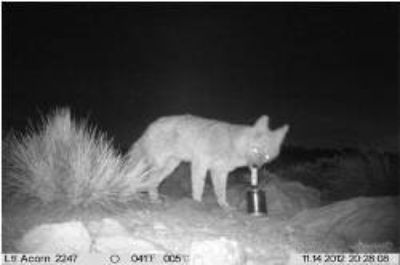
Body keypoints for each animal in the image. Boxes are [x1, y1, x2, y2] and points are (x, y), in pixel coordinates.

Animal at [124, 114, 288, 207]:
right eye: (255, 150)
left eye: (266, 157)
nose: (255, 166)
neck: (232, 144)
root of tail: (151, 126)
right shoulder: (200, 164)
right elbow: (199, 186)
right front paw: (197, 203)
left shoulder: (220, 172)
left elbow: (221, 191)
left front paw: (224, 205)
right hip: (159, 165)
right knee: (149, 179)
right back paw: (150, 198)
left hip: (169, 167)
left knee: (152, 182)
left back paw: (154, 199)